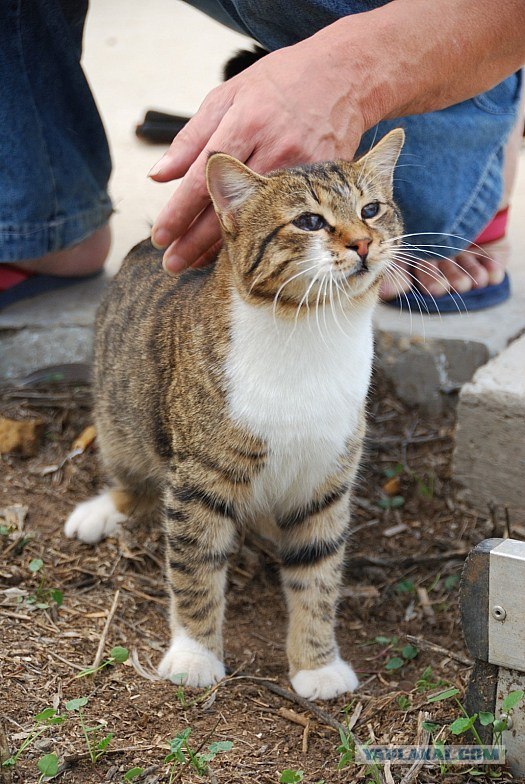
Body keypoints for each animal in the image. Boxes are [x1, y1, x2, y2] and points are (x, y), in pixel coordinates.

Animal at [63, 129, 404, 700]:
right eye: (309, 221)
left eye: (371, 209)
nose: (362, 242)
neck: (311, 329)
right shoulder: (199, 479)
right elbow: (196, 570)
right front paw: (195, 655)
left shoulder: (325, 480)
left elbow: (318, 575)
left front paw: (316, 665)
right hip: (121, 418)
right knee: (131, 475)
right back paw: (103, 510)